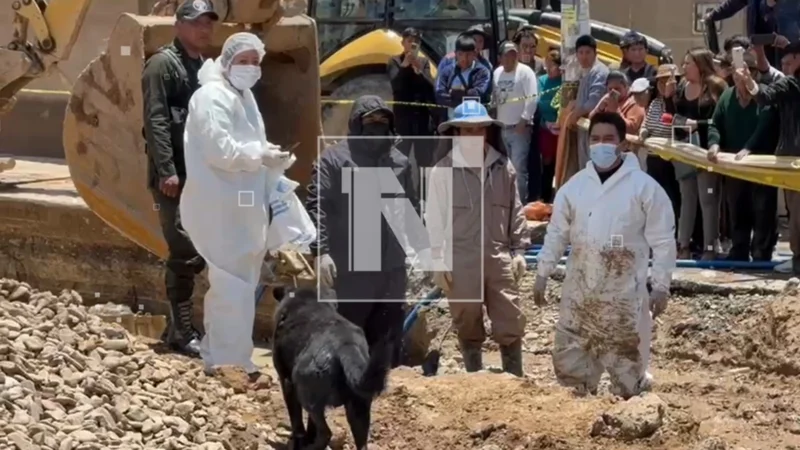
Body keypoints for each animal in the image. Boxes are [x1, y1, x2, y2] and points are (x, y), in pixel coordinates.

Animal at [270, 288, 392, 450]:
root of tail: (346, 346)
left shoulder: (287, 382)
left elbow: (297, 423)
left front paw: (299, 442)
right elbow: (310, 426)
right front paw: (308, 438)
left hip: (306, 394)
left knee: (326, 433)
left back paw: (310, 448)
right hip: (359, 410)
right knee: (361, 443)